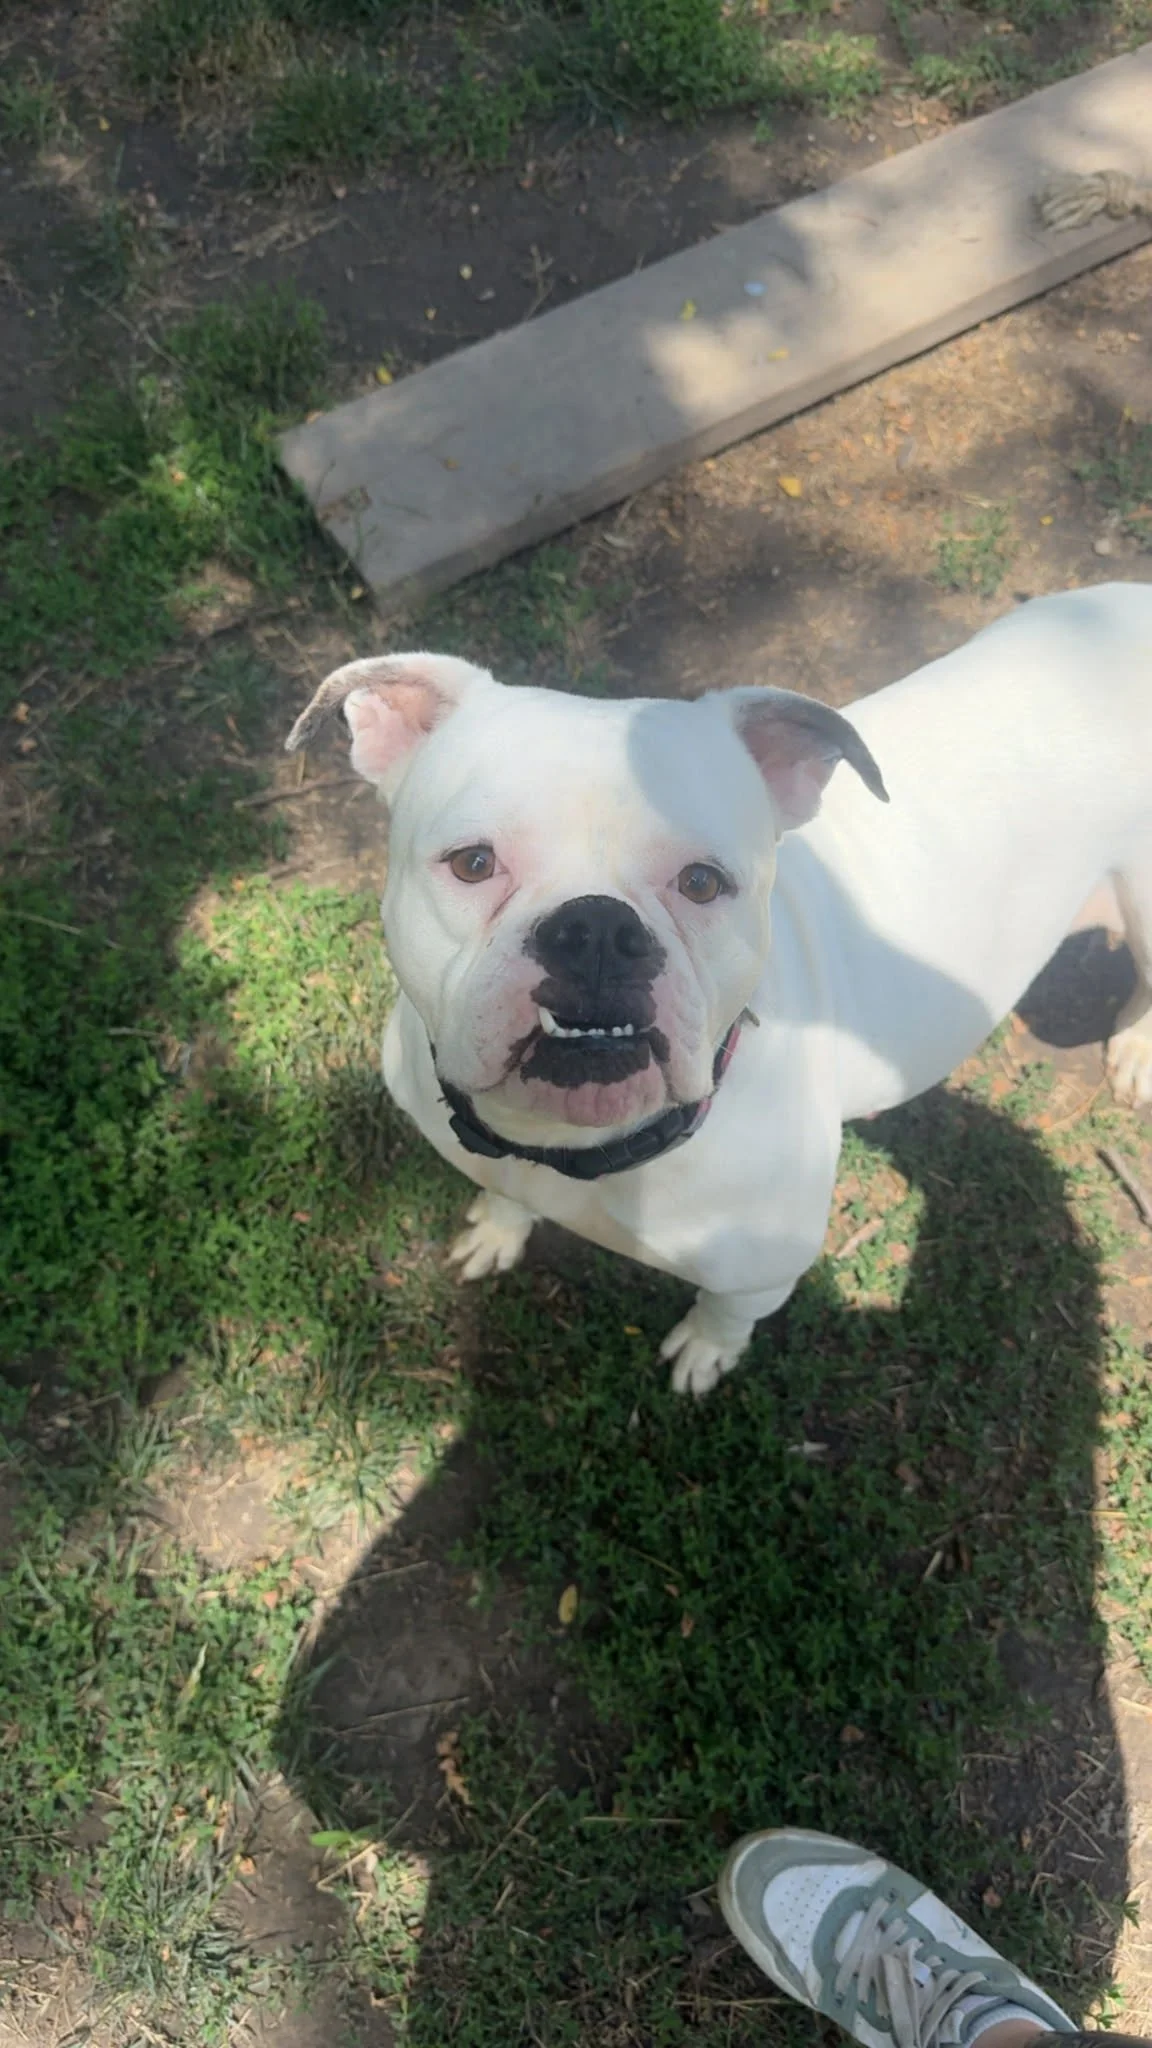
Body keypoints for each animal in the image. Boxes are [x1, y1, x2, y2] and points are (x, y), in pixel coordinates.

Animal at [286, 582, 1152, 1396]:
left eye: (702, 882)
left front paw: (705, 1351)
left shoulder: (760, 1274)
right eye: (472, 863)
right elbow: (503, 1197)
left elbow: (725, 1312)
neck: (568, 1149)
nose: (596, 931)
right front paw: (499, 1230)